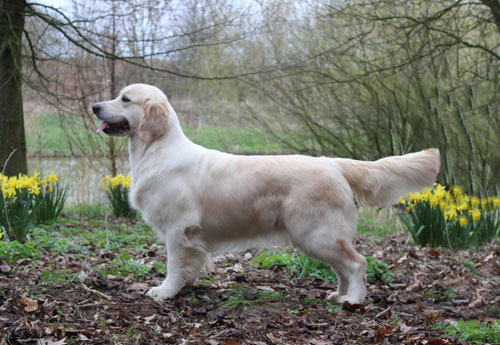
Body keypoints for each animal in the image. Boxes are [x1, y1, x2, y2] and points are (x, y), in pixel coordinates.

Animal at [92, 83, 440, 304]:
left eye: (125, 99)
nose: (95, 106)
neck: (158, 150)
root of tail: (333, 163)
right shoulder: (189, 236)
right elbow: (189, 266)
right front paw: (183, 288)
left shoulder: (180, 229)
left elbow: (174, 265)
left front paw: (165, 292)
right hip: (318, 236)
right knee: (344, 266)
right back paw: (339, 294)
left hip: (316, 234)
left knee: (357, 263)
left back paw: (353, 300)